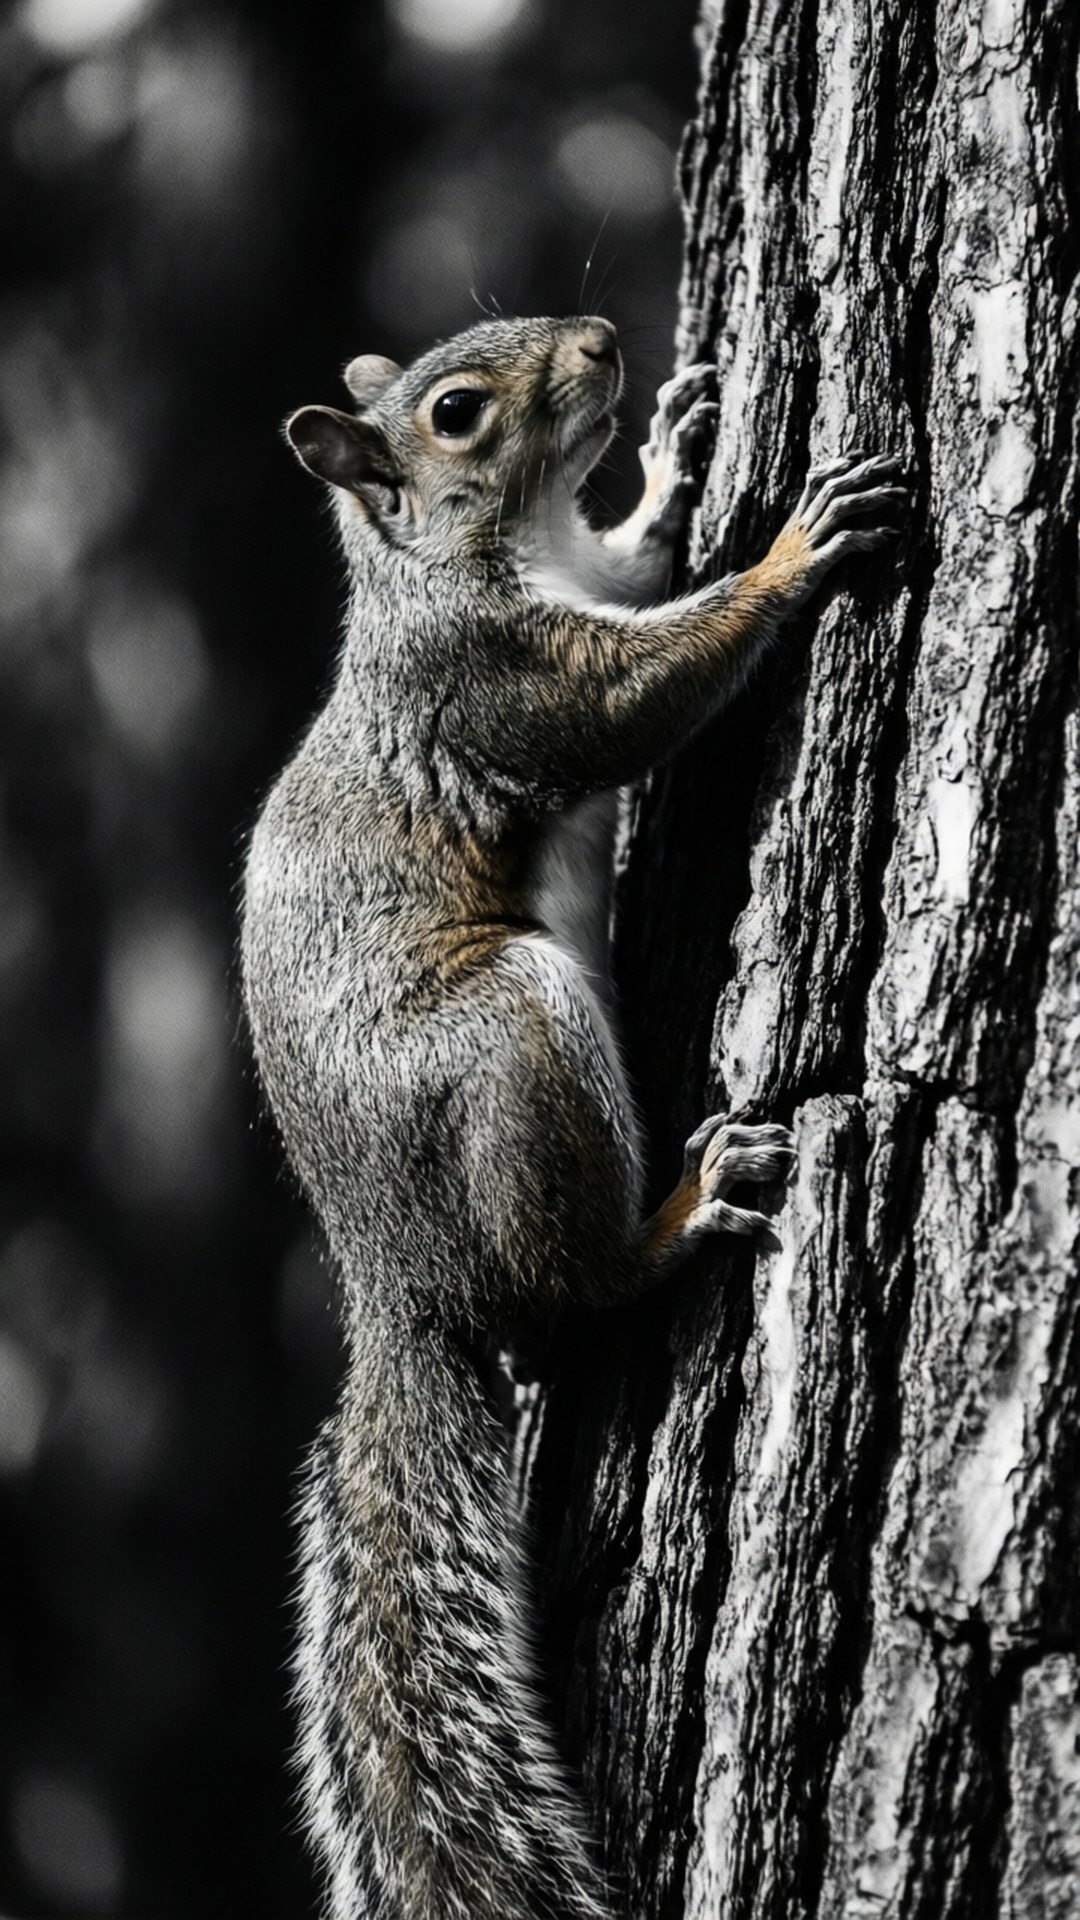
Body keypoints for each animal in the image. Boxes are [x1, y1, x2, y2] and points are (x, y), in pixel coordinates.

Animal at [241, 313, 903, 1920]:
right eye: (458, 414)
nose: (603, 339)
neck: (498, 551)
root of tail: (394, 1277)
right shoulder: (498, 680)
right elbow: (636, 697)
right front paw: (794, 550)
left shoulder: (585, 585)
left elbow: (644, 563)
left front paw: (673, 458)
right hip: (517, 1039)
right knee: (579, 1287)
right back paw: (685, 1212)